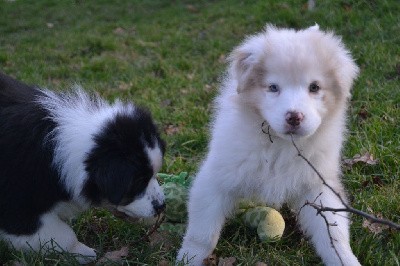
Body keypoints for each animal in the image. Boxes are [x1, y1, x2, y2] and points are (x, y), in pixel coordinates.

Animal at [0, 72, 166, 262]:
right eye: (138, 181)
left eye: (153, 174)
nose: (162, 206)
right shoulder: (17, 206)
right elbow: (58, 233)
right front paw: (83, 253)